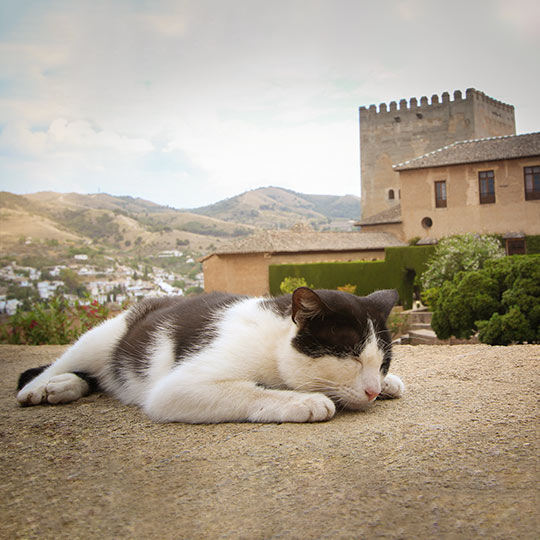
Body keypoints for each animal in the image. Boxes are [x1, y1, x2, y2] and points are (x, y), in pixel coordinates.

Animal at [15, 288, 404, 424]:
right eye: (351, 357)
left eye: (382, 363)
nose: (372, 390)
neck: (273, 341)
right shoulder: (177, 388)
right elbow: (248, 391)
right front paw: (304, 401)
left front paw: (390, 384)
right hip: (101, 337)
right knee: (57, 365)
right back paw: (42, 387)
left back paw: (65, 387)